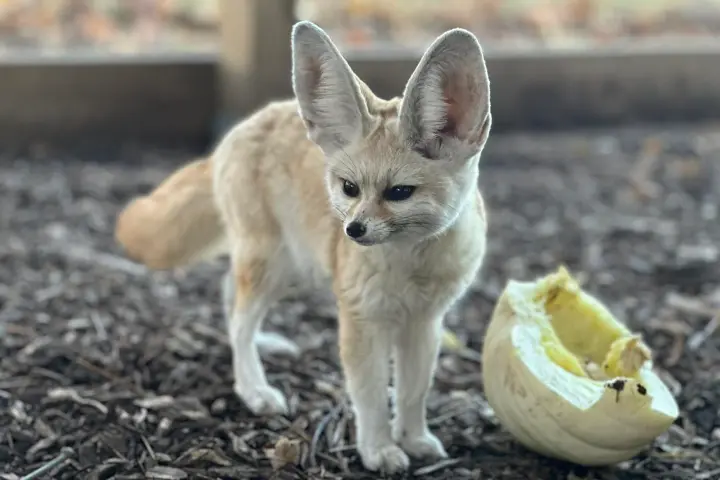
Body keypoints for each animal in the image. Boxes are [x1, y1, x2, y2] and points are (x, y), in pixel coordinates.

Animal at [114, 21, 492, 474]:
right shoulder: (362, 321)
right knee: (239, 321)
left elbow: (413, 391)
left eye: (399, 192)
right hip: (273, 266)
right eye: (350, 188)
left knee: (230, 296)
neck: (412, 267)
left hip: (290, 267)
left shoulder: (425, 322)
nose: (353, 230)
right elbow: (370, 397)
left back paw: (259, 348)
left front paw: (414, 438)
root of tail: (236, 132)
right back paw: (253, 388)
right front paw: (378, 448)